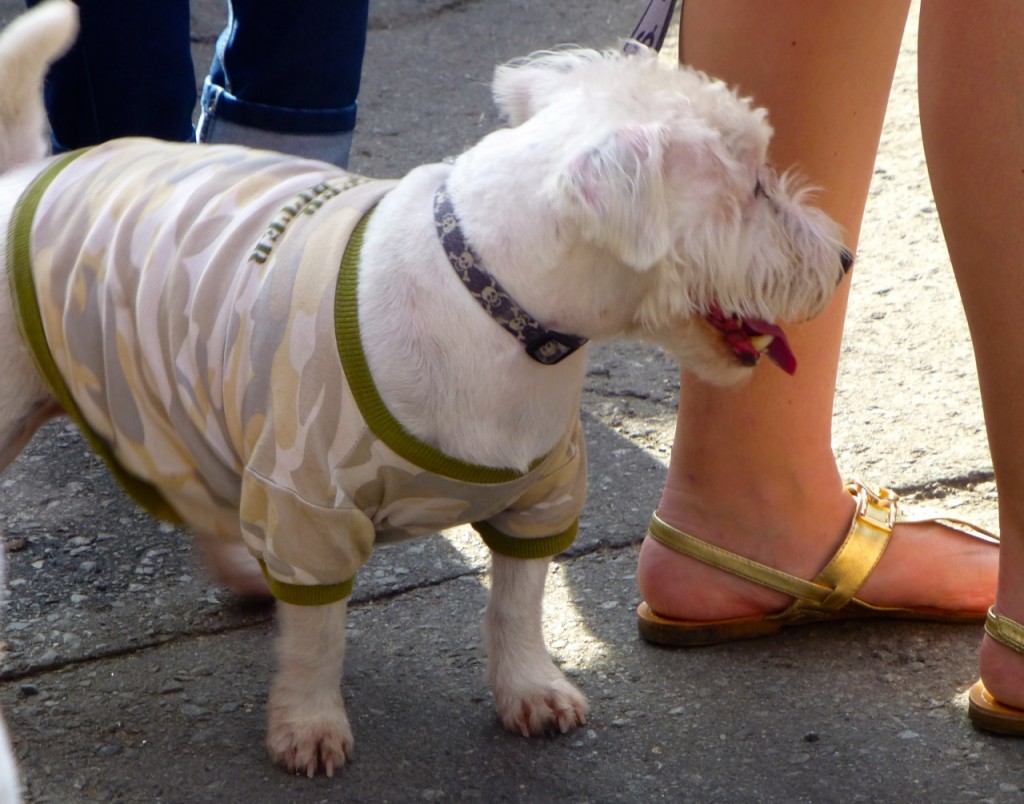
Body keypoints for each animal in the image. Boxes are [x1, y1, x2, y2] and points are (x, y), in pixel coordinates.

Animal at [0, 0, 847, 778]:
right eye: (755, 188)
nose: (842, 260)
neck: (494, 303)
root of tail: (27, 172)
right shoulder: (309, 504)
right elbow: (319, 636)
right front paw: (309, 723)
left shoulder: (544, 493)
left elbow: (518, 603)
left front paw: (529, 689)